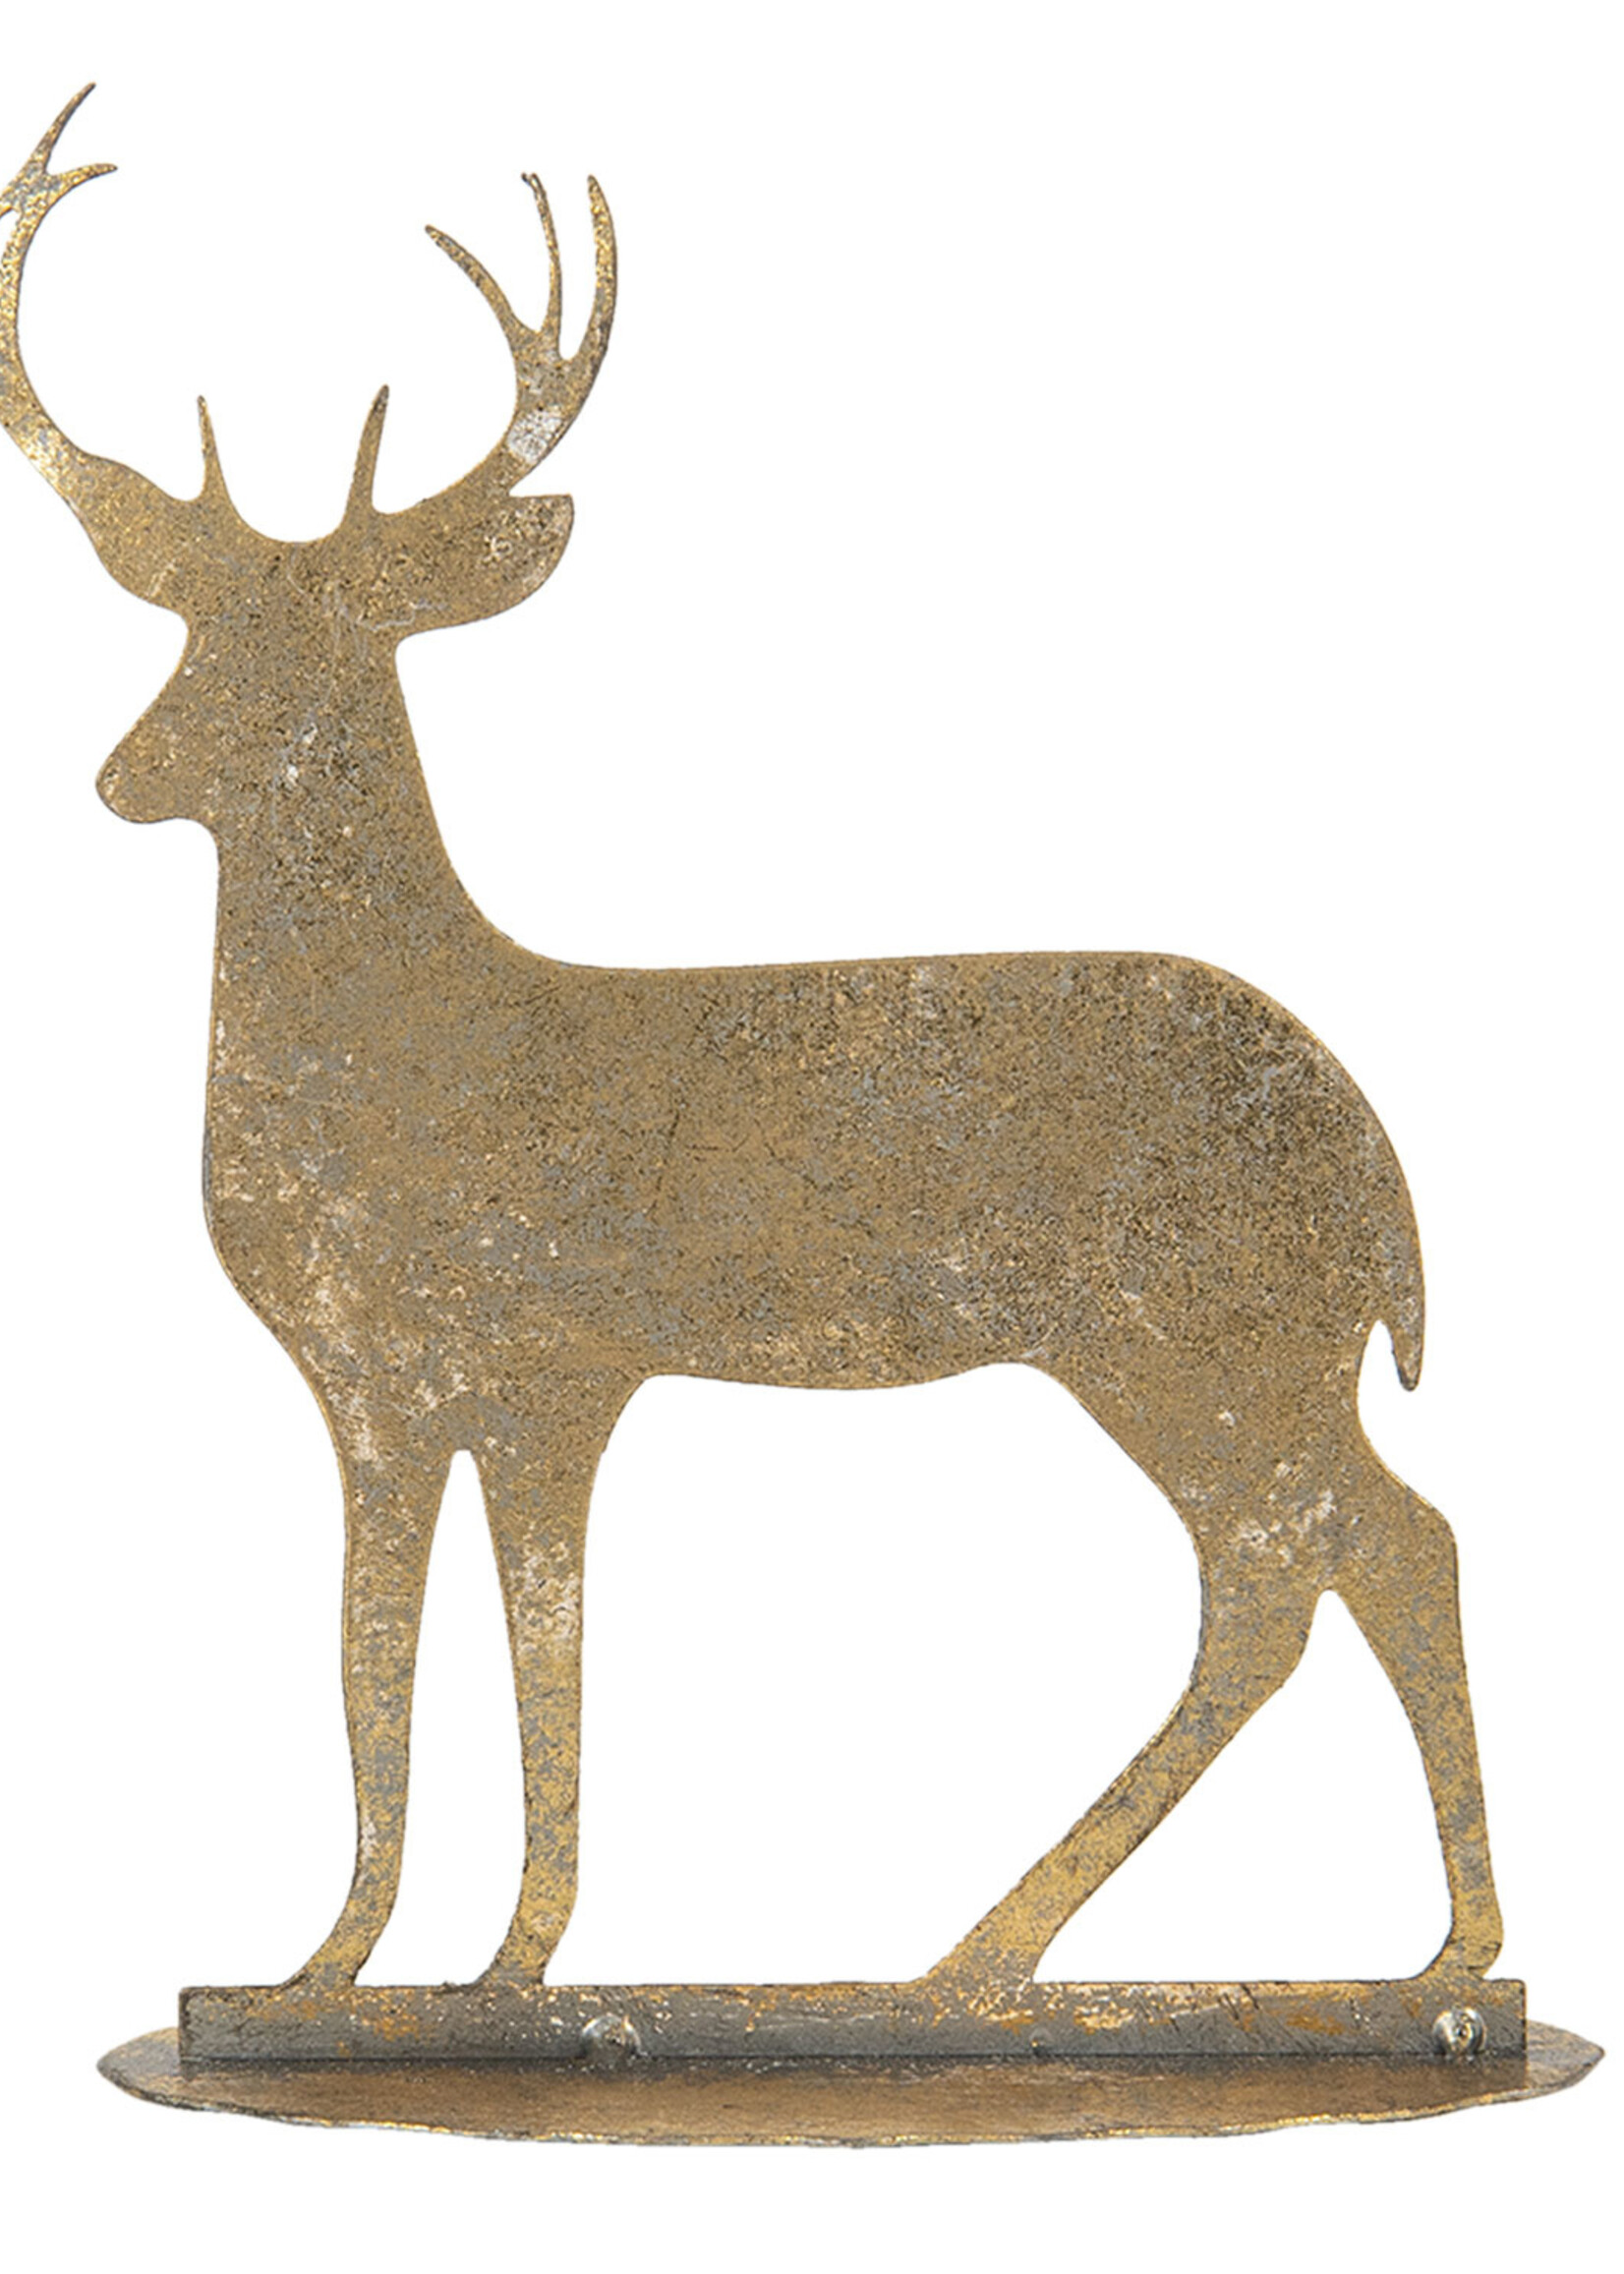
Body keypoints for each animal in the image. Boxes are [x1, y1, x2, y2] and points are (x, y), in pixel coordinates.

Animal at [3, 90, 1503, 2002]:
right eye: (189, 626)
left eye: (325, 656)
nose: (121, 776)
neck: (405, 1041)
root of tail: (1372, 1154)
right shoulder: (378, 1381)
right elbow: (367, 1657)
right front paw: (323, 1968)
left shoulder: (553, 1356)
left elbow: (544, 1658)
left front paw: (509, 1965)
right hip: (1226, 1347)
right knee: (1328, 1564)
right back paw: (1125, 1957)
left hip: (1200, 1327)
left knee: (1340, 1556)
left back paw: (1223, 1958)